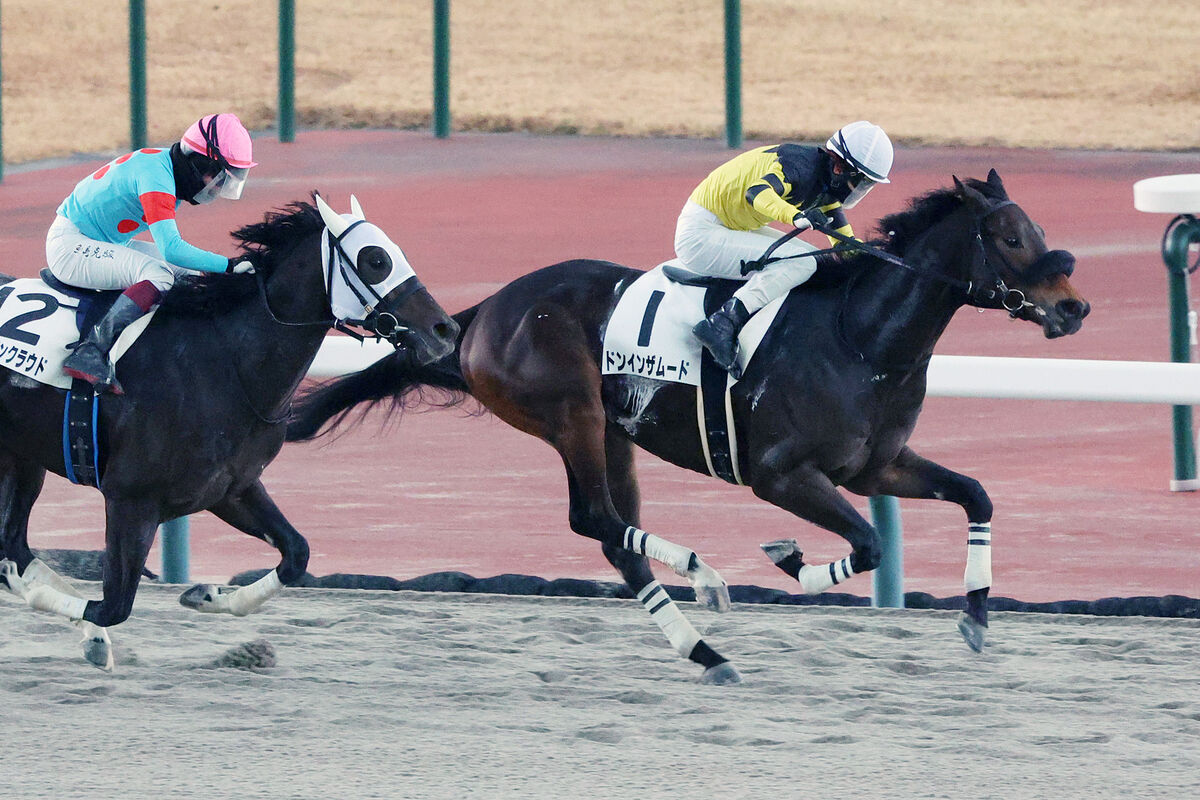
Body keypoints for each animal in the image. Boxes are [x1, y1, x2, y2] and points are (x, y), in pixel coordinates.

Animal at [0, 195, 458, 671]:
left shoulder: (231, 488)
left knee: (15, 543)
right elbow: (113, 605)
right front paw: (44, 601)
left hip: (21, 458)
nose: (445, 330)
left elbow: (296, 554)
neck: (224, 363)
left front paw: (205, 594)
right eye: (376, 260)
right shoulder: (130, 498)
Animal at [288, 172, 1089, 686]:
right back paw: (705, 580)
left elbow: (975, 495)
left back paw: (706, 652)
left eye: (1040, 228)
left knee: (616, 538)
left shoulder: (875, 467)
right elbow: (865, 544)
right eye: (1009, 237)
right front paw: (791, 558)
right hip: (573, 415)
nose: (1072, 306)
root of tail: (482, 313)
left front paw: (977, 616)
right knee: (594, 519)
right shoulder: (780, 475)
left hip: (614, 432)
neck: (860, 338)